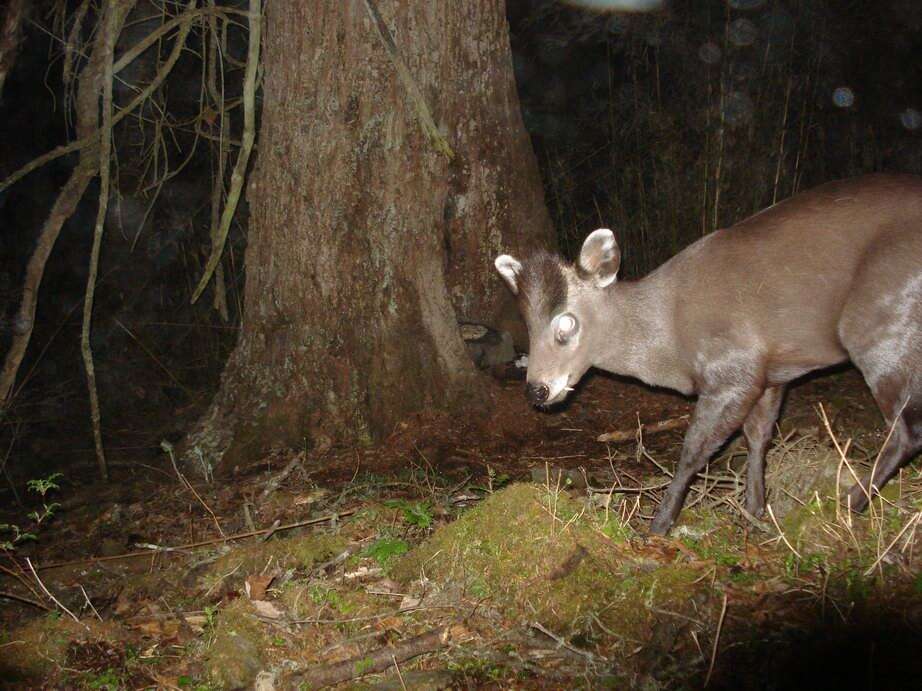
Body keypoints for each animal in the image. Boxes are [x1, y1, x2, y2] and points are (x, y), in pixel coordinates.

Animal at [492, 174, 920, 536]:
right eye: (527, 323)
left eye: (567, 324)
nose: (536, 390)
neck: (668, 336)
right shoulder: (771, 372)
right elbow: (759, 437)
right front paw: (754, 510)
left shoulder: (733, 368)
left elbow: (693, 452)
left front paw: (658, 525)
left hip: (878, 316)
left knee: (906, 429)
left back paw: (845, 507)